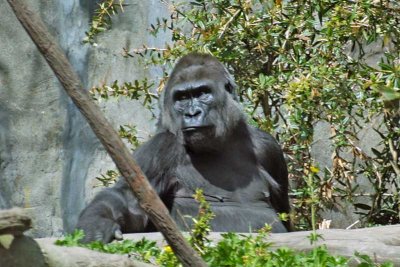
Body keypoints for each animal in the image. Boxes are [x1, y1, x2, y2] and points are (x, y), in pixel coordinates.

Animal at [76, 53, 290, 244]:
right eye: (182, 98)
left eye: (203, 93)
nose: (192, 113)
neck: (220, 143)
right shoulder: (160, 148)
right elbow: (130, 198)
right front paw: (96, 223)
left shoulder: (268, 147)